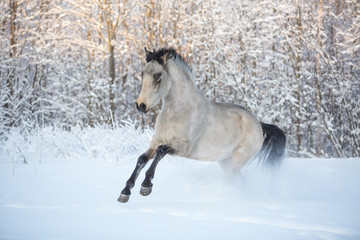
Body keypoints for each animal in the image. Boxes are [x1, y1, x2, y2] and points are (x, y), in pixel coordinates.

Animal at [119, 47, 286, 203]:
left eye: (157, 75)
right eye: (143, 74)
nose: (141, 106)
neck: (178, 112)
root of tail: (259, 126)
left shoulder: (183, 146)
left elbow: (161, 152)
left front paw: (146, 186)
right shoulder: (156, 141)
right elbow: (142, 159)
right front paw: (125, 192)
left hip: (235, 162)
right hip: (226, 163)